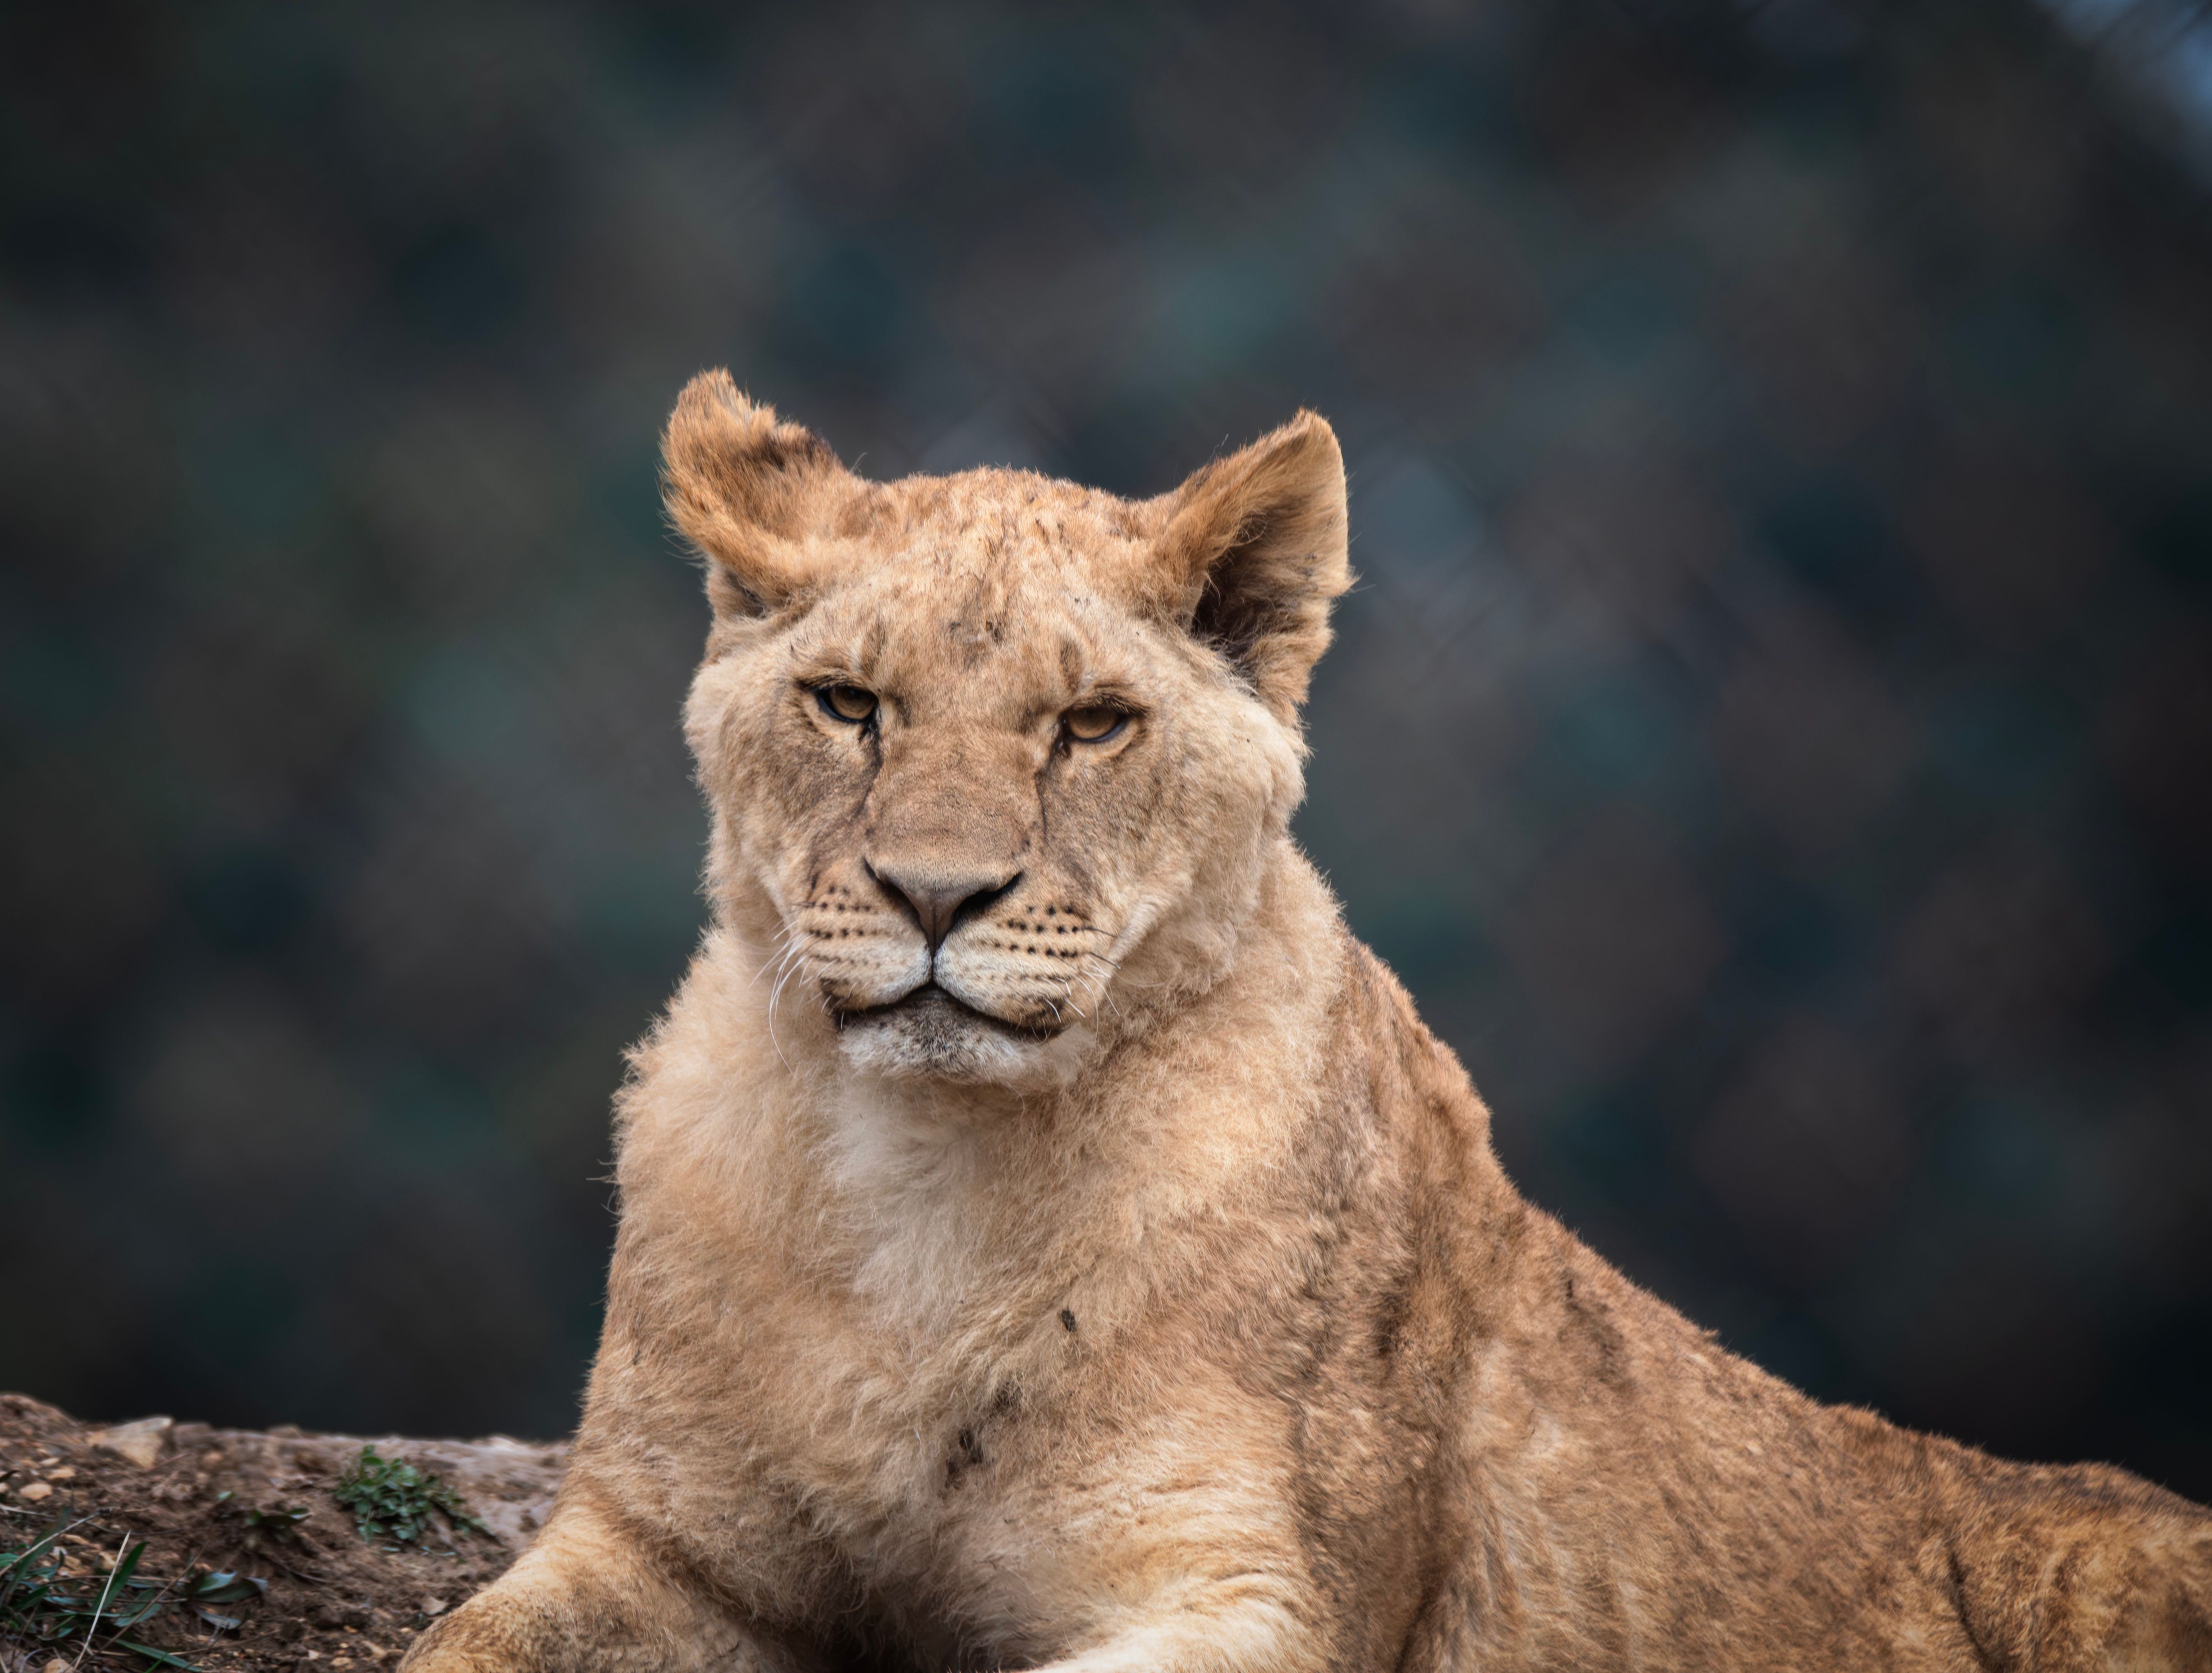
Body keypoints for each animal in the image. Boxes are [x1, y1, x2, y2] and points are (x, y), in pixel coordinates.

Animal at [401, 373, 2211, 1672]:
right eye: (848, 703)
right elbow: (457, 1650)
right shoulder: (659, 1544)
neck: (927, 1177)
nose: (934, 894)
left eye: (1093, 725)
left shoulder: (1253, 1587)